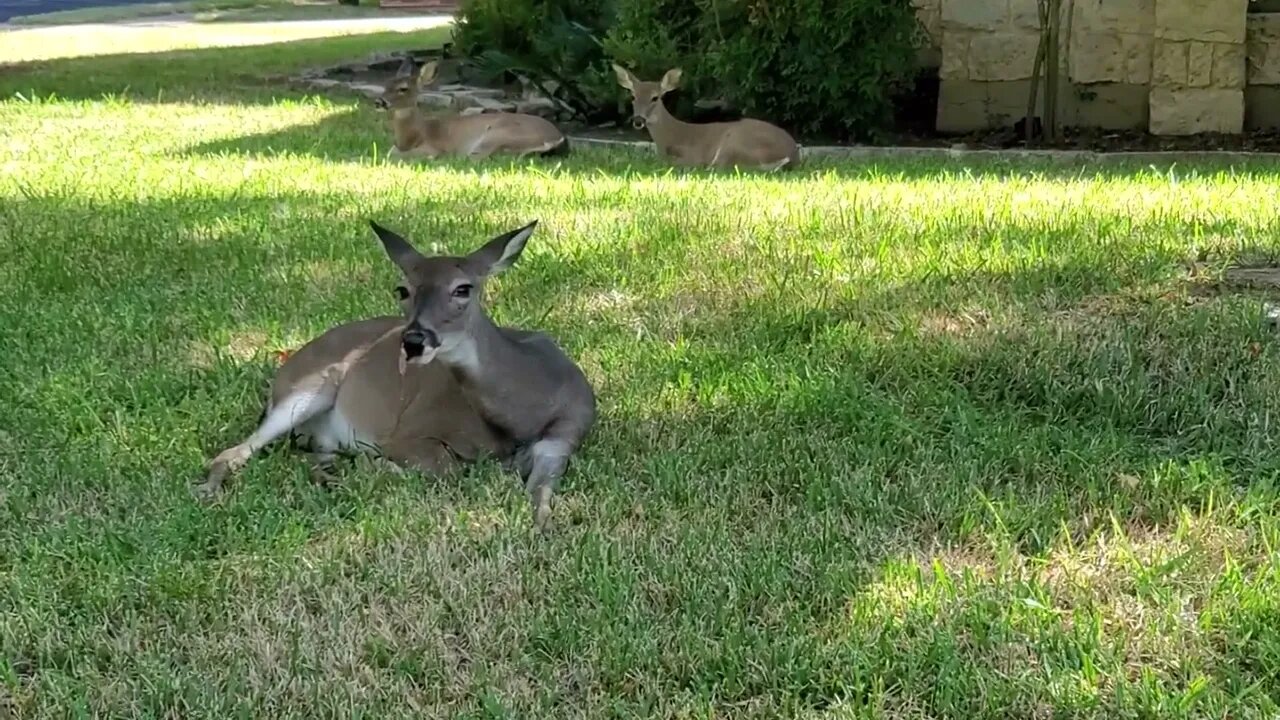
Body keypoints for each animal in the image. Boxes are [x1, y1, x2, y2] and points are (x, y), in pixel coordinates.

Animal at [197, 219, 596, 527]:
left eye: (463, 288)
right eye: (402, 289)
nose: (413, 340)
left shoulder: (564, 434)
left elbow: (541, 493)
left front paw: (546, 524)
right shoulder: (408, 431)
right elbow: (444, 468)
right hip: (311, 385)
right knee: (234, 452)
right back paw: (209, 491)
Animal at [373, 59, 568, 161]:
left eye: (403, 88)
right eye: (386, 84)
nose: (378, 101)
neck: (417, 134)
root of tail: (558, 138)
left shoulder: (434, 148)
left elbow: (395, 154)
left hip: (497, 135)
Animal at [611, 63, 798, 170]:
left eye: (655, 97)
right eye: (633, 96)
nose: (638, 120)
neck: (671, 135)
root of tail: (791, 155)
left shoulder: (693, 155)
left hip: (734, 142)